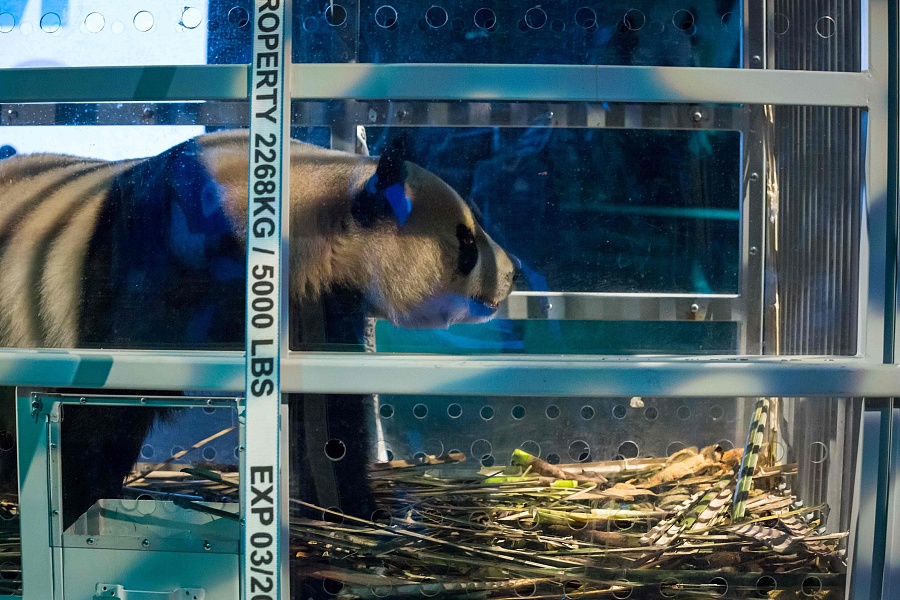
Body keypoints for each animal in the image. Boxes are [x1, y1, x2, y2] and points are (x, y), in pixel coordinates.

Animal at [0, 130, 516, 531]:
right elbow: (108, 400)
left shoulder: (315, 300)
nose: (512, 276)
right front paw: (81, 500)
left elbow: (328, 414)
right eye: (466, 241)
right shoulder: (162, 259)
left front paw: (352, 511)